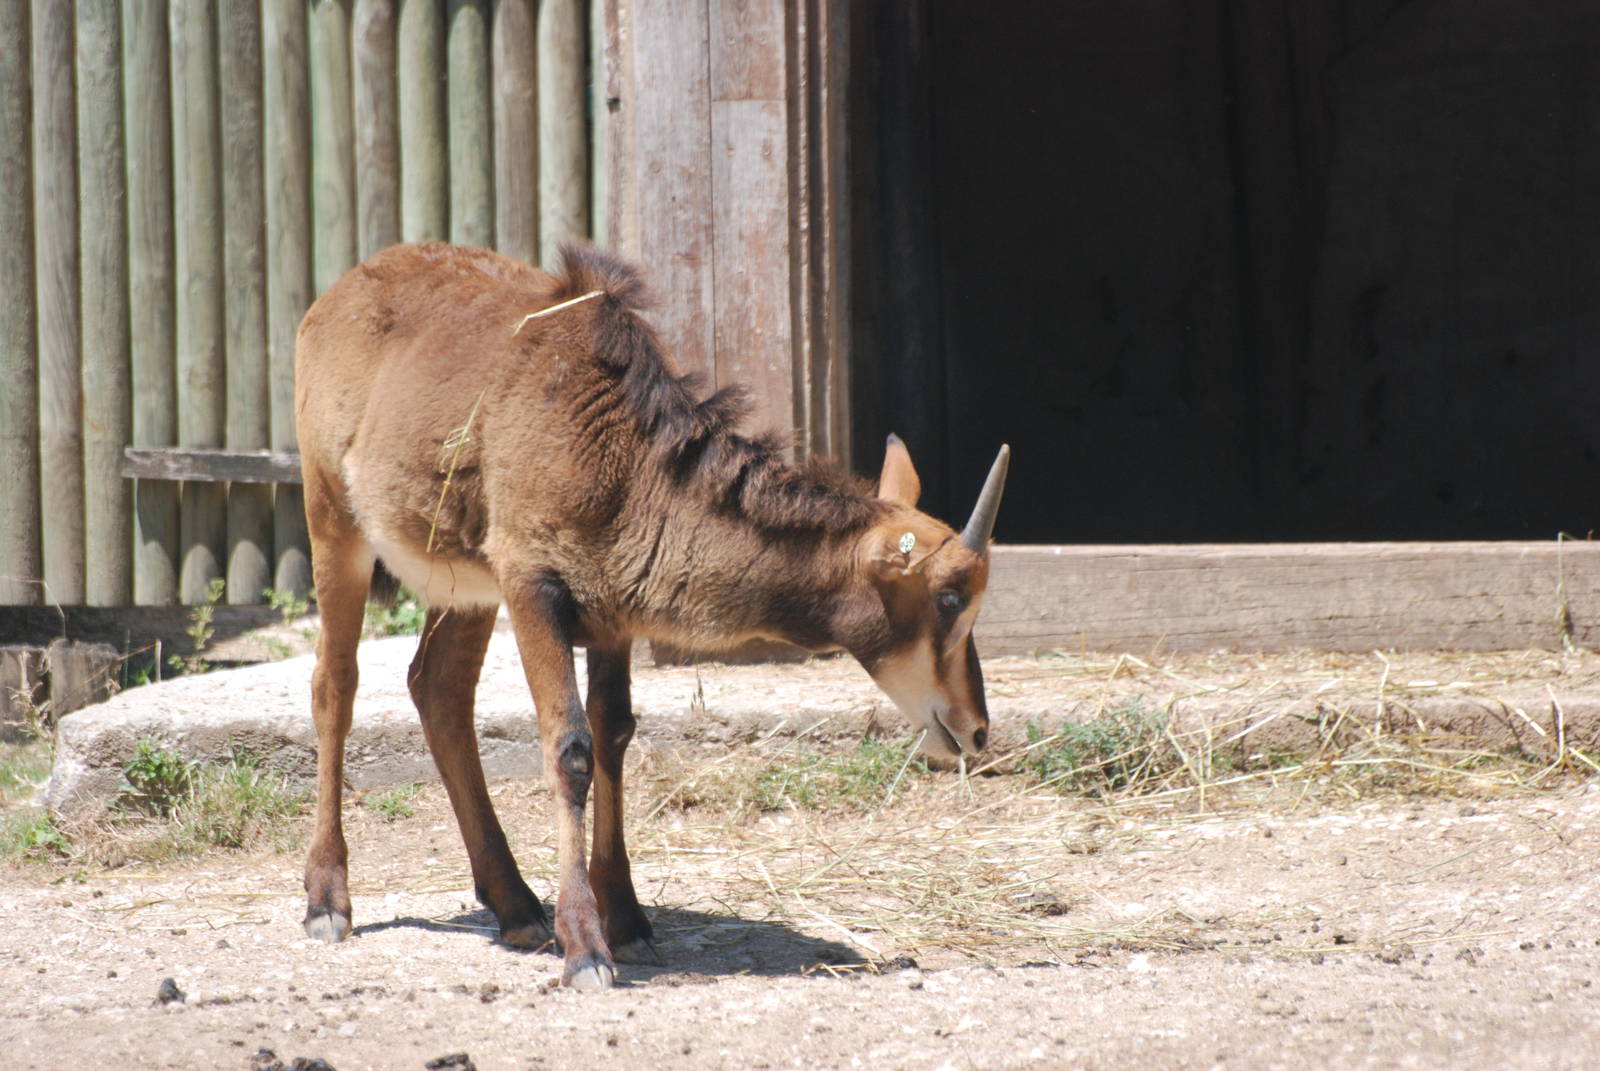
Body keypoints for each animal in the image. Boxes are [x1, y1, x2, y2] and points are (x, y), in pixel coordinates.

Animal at [294, 241, 1009, 989]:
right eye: (950, 598)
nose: (975, 730)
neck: (626, 459)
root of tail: (342, 291)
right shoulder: (531, 584)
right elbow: (571, 748)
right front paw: (586, 945)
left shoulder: (611, 613)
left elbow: (614, 734)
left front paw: (628, 919)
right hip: (335, 517)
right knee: (335, 684)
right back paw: (328, 899)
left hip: (464, 583)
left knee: (439, 688)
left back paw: (516, 904)